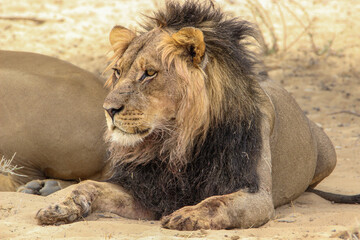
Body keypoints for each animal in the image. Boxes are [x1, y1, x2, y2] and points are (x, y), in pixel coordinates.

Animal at [35, 0, 358, 230]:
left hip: (330, 154)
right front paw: (60, 207)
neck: (177, 141)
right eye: (117, 71)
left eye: (149, 73)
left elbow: (217, 202)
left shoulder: (256, 195)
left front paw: (187, 215)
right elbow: (91, 186)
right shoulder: (148, 192)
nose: (108, 109)